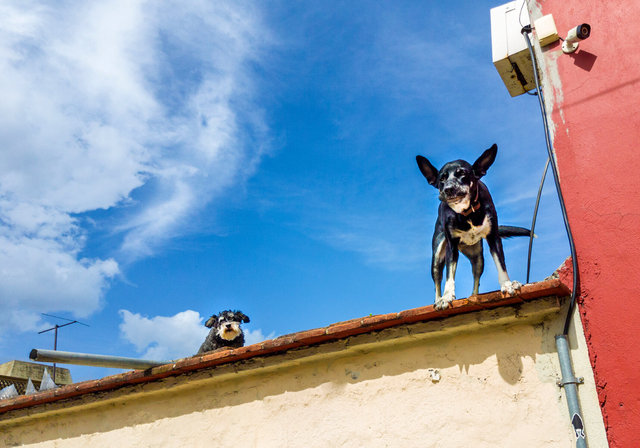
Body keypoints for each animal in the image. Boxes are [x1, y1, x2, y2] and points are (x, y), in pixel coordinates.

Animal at [416, 145, 528, 310]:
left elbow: (501, 264)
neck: (466, 212)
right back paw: (438, 300)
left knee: (476, 278)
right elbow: (449, 275)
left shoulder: (493, 238)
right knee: (437, 280)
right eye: (442, 179)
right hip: (436, 257)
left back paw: (474, 296)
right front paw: (447, 296)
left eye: (462, 173)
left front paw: (507, 284)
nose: (448, 189)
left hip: (478, 257)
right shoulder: (451, 247)